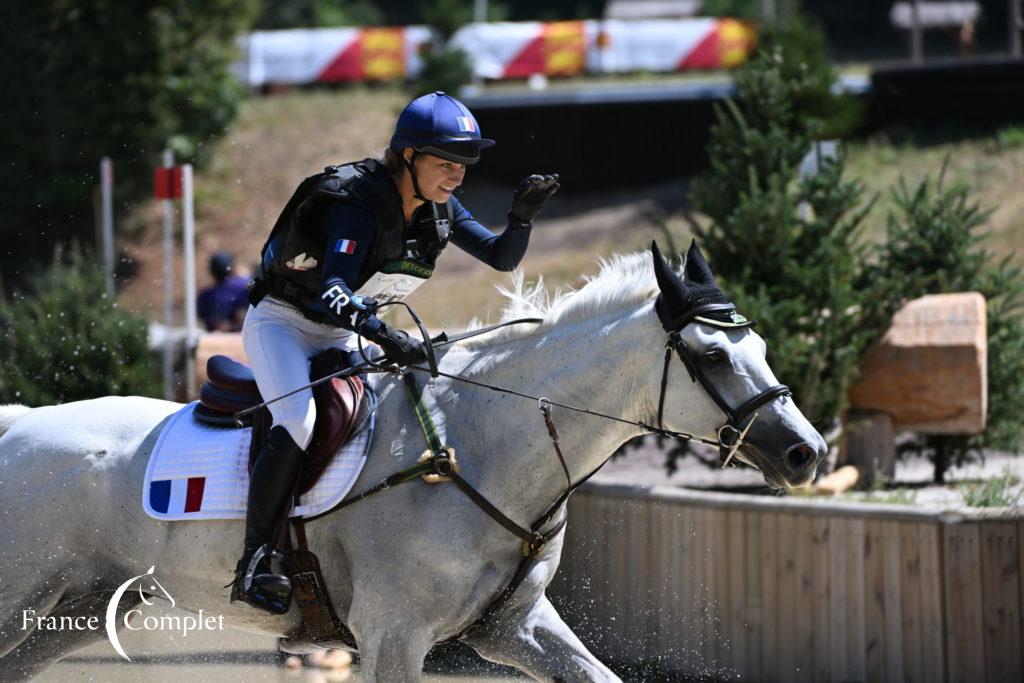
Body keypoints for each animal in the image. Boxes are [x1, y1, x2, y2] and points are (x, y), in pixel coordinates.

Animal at [0, 242, 823, 679]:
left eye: (760, 344)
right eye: (711, 355)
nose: (806, 452)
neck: (485, 447)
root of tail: (19, 424)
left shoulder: (513, 628)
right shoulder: (394, 634)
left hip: (80, 607)